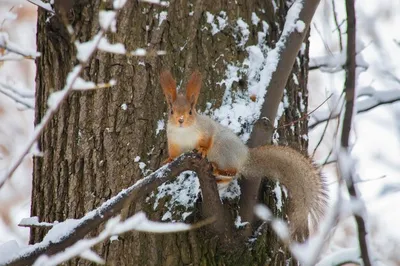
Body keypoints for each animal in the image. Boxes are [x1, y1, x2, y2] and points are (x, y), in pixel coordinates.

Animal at [159, 69, 328, 237]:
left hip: (224, 151)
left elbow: (207, 141)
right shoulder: (173, 142)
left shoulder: (207, 129)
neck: (184, 132)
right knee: (230, 176)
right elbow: (174, 154)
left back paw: (217, 169)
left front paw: (202, 149)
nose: (180, 120)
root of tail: (245, 157)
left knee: (233, 171)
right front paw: (168, 160)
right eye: (171, 111)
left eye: (190, 112)